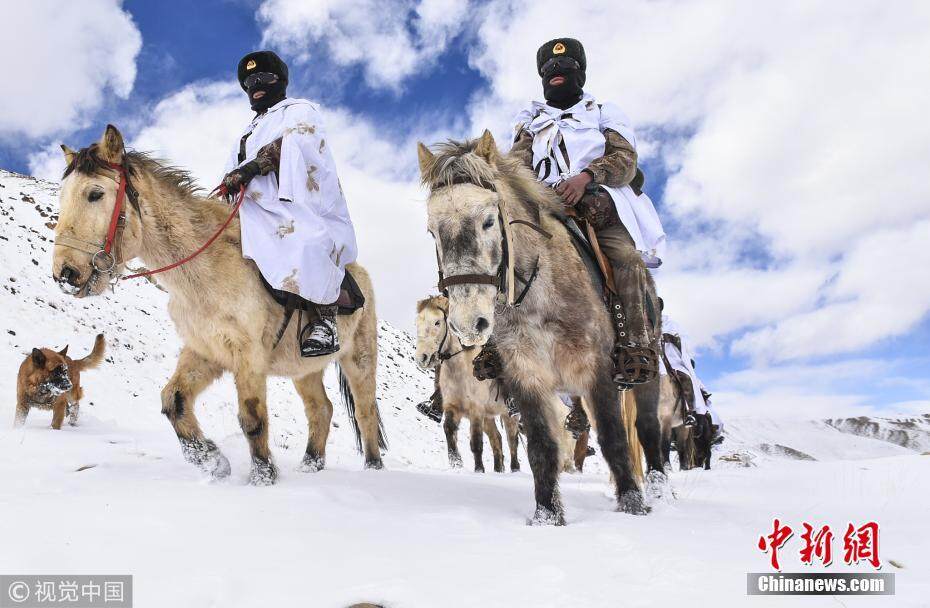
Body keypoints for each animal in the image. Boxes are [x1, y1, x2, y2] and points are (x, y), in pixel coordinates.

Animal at [51, 124, 384, 484]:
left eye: (95, 194)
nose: (65, 274)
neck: (205, 268)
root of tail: (359, 273)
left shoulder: (248, 354)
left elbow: (253, 417)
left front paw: (262, 478)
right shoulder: (205, 351)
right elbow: (174, 400)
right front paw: (212, 461)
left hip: (359, 360)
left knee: (365, 413)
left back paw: (374, 469)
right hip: (304, 368)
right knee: (321, 409)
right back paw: (310, 465)